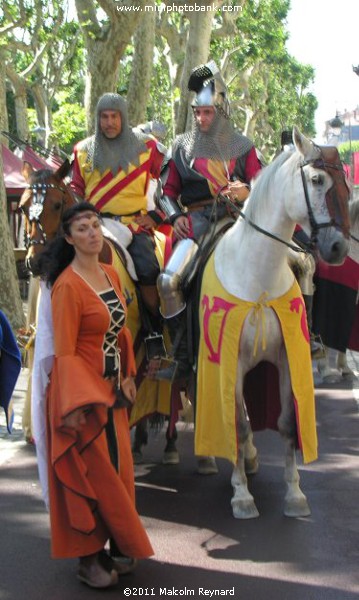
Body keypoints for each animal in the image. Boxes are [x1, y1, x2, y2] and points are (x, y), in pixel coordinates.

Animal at [195, 127, 350, 520]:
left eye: (346, 183)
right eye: (316, 179)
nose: (340, 248)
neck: (257, 276)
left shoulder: (285, 358)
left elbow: (285, 423)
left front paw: (294, 493)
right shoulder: (230, 362)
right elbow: (236, 423)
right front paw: (241, 496)